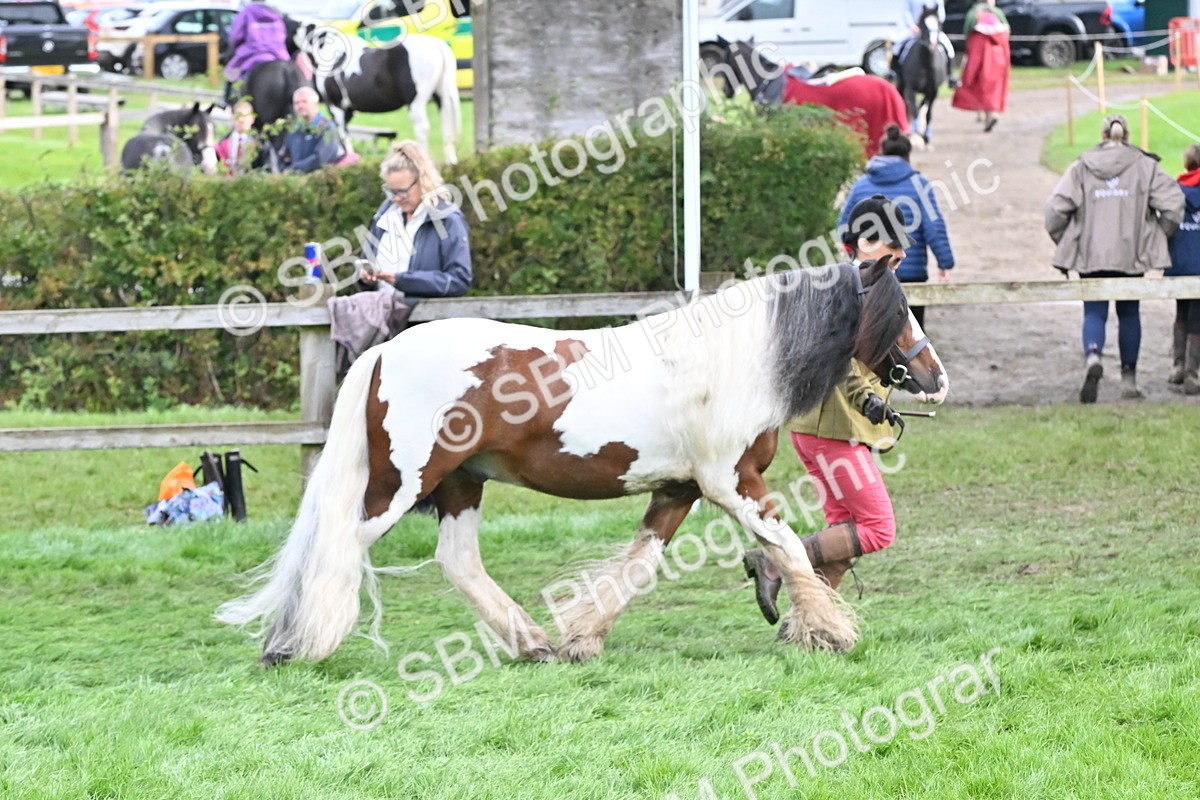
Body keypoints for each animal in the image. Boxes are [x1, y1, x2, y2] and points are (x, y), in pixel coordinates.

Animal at [217, 258, 949, 667]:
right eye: (899, 311)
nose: (935, 377)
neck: (731, 361)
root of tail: (384, 352)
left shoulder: (679, 490)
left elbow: (639, 566)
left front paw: (581, 641)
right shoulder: (732, 482)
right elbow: (791, 549)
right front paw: (831, 633)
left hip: (459, 484)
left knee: (459, 562)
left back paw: (532, 643)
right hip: (402, 486)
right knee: (337, 548)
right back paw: (290, 645)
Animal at [292, 22, 461, 164]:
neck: (331, 55)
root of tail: (437, 45)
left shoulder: (336, 107)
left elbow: (343, 136)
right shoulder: (348, 111)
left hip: (417, 102)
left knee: (422, 128)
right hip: (442, 97)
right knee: (446, 126)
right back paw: (450, 161)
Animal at [895, 4, 949, 145]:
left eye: (938, 23)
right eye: (923, 24)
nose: (933, 43)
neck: (926, 65)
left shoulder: (933, 91)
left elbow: (928, 113)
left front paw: (927, 136)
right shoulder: (911, 89)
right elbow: (912, 109)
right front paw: (916, 131)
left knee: (922, 104)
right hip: (902, 85)